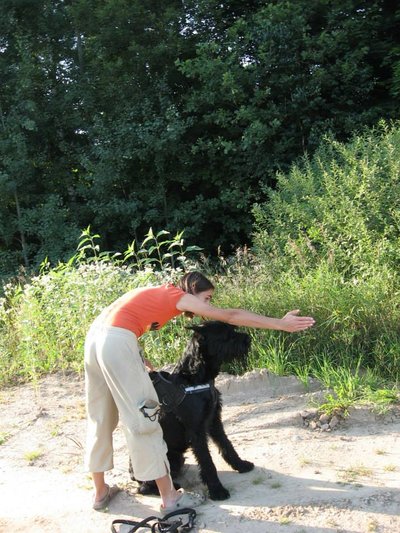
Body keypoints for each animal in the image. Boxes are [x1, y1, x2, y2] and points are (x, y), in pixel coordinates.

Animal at [132, 320, 256, 498]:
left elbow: (227, 446)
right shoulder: (196, 431)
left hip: (178, 458)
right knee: (145, 486)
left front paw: (241, 465)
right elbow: (207, 461)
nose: (248, 339)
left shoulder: (214, 421)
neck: (194, 377)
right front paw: (217, 490)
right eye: (227, 335)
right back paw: (172, 487)